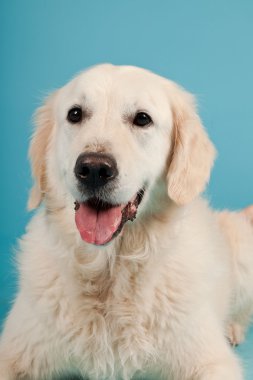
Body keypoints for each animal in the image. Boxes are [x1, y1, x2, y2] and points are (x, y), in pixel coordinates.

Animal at [0, 63, 253, 378]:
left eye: (142, 119)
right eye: (75, 114)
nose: (94, 169)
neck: (109, 271)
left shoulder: (210, 362)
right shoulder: (14, 352)